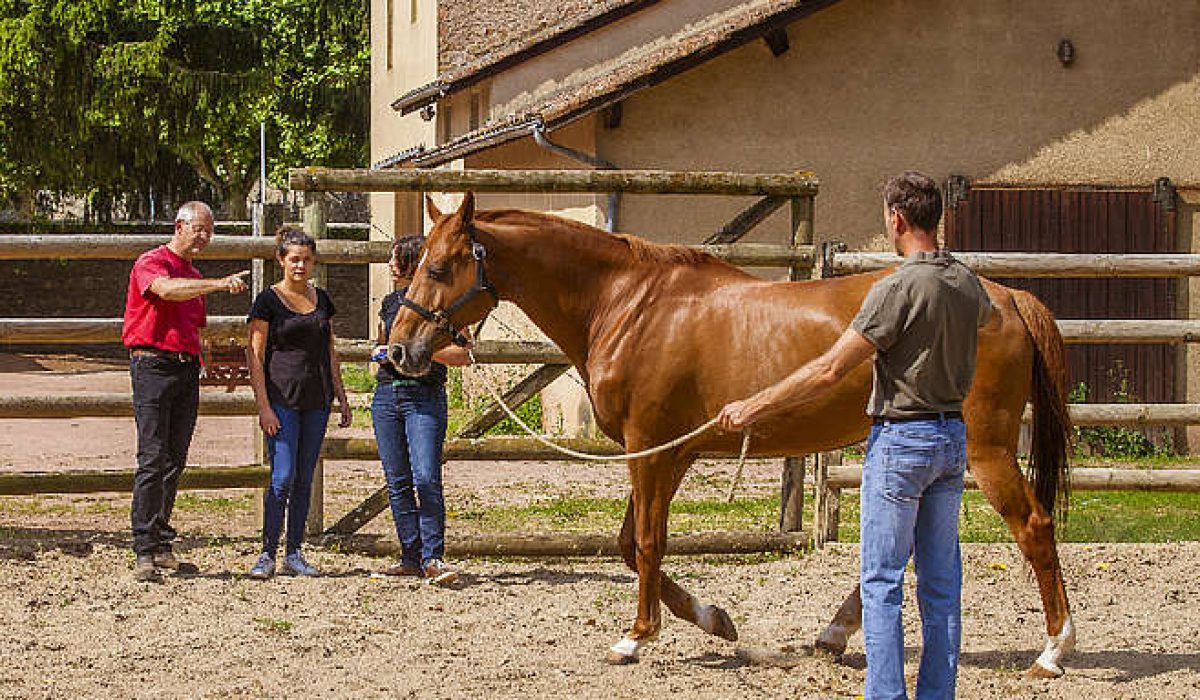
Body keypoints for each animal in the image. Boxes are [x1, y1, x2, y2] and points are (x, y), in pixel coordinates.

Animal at [388, 192, 1076, 677]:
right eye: (417, 266)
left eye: (441, 267)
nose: (399, 351)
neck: (627, 304)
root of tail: (1007, 297)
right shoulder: (669, 453)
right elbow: (628, 545)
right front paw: (716, 621)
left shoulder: (652, 449)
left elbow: (646, 544)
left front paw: (634, 638)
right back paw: (832, 634)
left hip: (986, 451)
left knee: (1033, 527)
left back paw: (1054, 650)